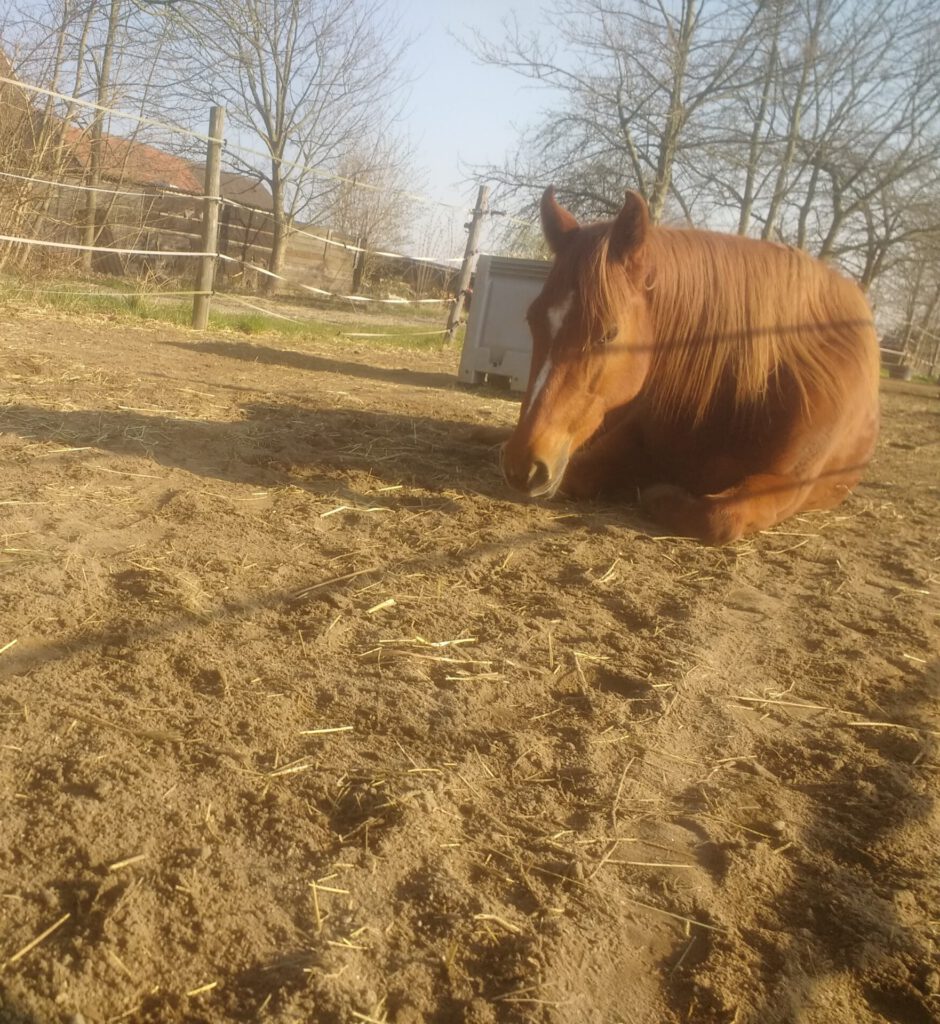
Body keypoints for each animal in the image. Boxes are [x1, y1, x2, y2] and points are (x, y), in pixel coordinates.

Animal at [503, 188, 880, 548]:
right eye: (532, 319)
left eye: (609, 332)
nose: (523, 465)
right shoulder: (629, 439)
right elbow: (578, 474)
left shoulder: (788, 485)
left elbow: (717, 517)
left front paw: (659, 495)